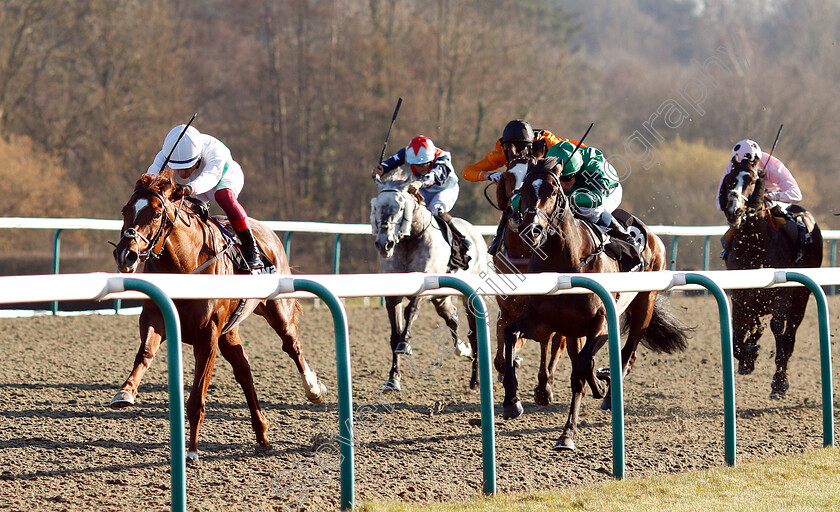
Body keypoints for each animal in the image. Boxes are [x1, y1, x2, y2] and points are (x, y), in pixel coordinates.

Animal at [108, 170, 324, 462]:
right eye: (125, 210)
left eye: (156, 214)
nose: (125, 254)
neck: (184, 265)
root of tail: (268, 232)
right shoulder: (155, 317)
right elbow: (145, 353)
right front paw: (125, 392)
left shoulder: (207, 335)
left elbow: (197, 396)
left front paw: (192, 450)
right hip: (229, 331)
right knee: (244, 372)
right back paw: (262, 434)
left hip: (278, 311)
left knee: (292, 346)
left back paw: (313, 389)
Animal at [370, 175, 488, 392]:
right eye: (377, 207)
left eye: (401, 207)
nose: (384, 244)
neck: (411, 239)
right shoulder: (393, 294)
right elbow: (394, 335)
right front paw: (393, 379)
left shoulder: (425, 287)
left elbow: (411, 312)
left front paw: (405, 344)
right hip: (441, 298)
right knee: (452, 318)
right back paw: (462, 350)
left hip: (469, 296)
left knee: (474, 333)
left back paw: (475, 381)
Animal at [498, 158, 688, 450]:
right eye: (524, 189)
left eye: (553, 191)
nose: (532, 231)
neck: (566, 262)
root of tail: (652, 236)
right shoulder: (541, 321)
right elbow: (511, 334)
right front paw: (511, 401)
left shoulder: (600, 322)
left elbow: (584, 365)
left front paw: (598, 387)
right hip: (574, 329)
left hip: (644, 303)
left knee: (627, 354)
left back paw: (607, 396)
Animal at [716, 160, 820, 396]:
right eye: (729, 180)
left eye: (752, 180)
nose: (734, 210)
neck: (755, 246)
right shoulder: (741, 296)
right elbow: (739, 335)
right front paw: (748, 357)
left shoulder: (782, 294)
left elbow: (777, 328)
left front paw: (779, 382)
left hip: (801, 299)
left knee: (789, 335)